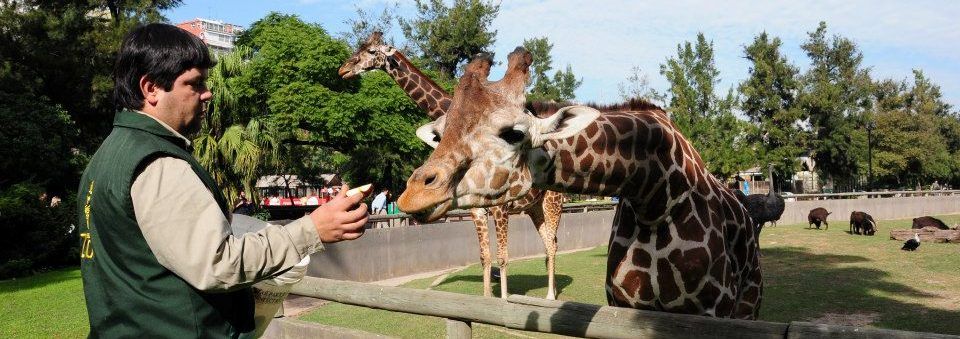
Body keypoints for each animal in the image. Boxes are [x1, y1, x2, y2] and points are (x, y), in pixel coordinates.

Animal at [338, 32, 564, 300]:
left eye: (371, 52)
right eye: (358, 48)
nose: (344, 69)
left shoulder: (500, 208)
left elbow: (503, 257)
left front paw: (504, 301)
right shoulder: (476, 210)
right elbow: (485, 257)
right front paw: (487, 299)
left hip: (552, 202)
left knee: (552, 243)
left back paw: (550, 296)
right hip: (534, 207)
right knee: (549, 241)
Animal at [394, 48, 760, 322]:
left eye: (513, 133)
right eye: (441, 134)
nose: (413, 194)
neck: (655, 193)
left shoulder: (712, 310)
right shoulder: (622, 303)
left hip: (748, 304)